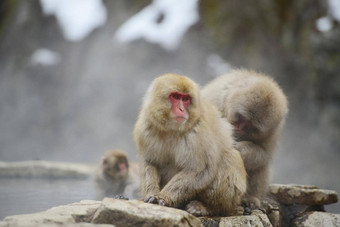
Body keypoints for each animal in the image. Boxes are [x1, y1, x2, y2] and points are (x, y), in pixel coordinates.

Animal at [133, 73, 247, 217]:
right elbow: (150, 163)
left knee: (230, 156)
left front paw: (163, 197)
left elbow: (199, 170)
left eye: (186, 99)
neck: (172, 129)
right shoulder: (145, 128)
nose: (182, 109)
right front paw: (151, 193)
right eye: (176, 97)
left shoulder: (198, 135)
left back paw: (208, 207)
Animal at [202, 69, 290, 209]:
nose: (239, 127)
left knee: (260, 165)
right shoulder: (215, 99)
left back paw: (250, 197)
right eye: (242, 118)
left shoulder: (274, 128)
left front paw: (241, 149)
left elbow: (264, 153)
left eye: (250, 124)